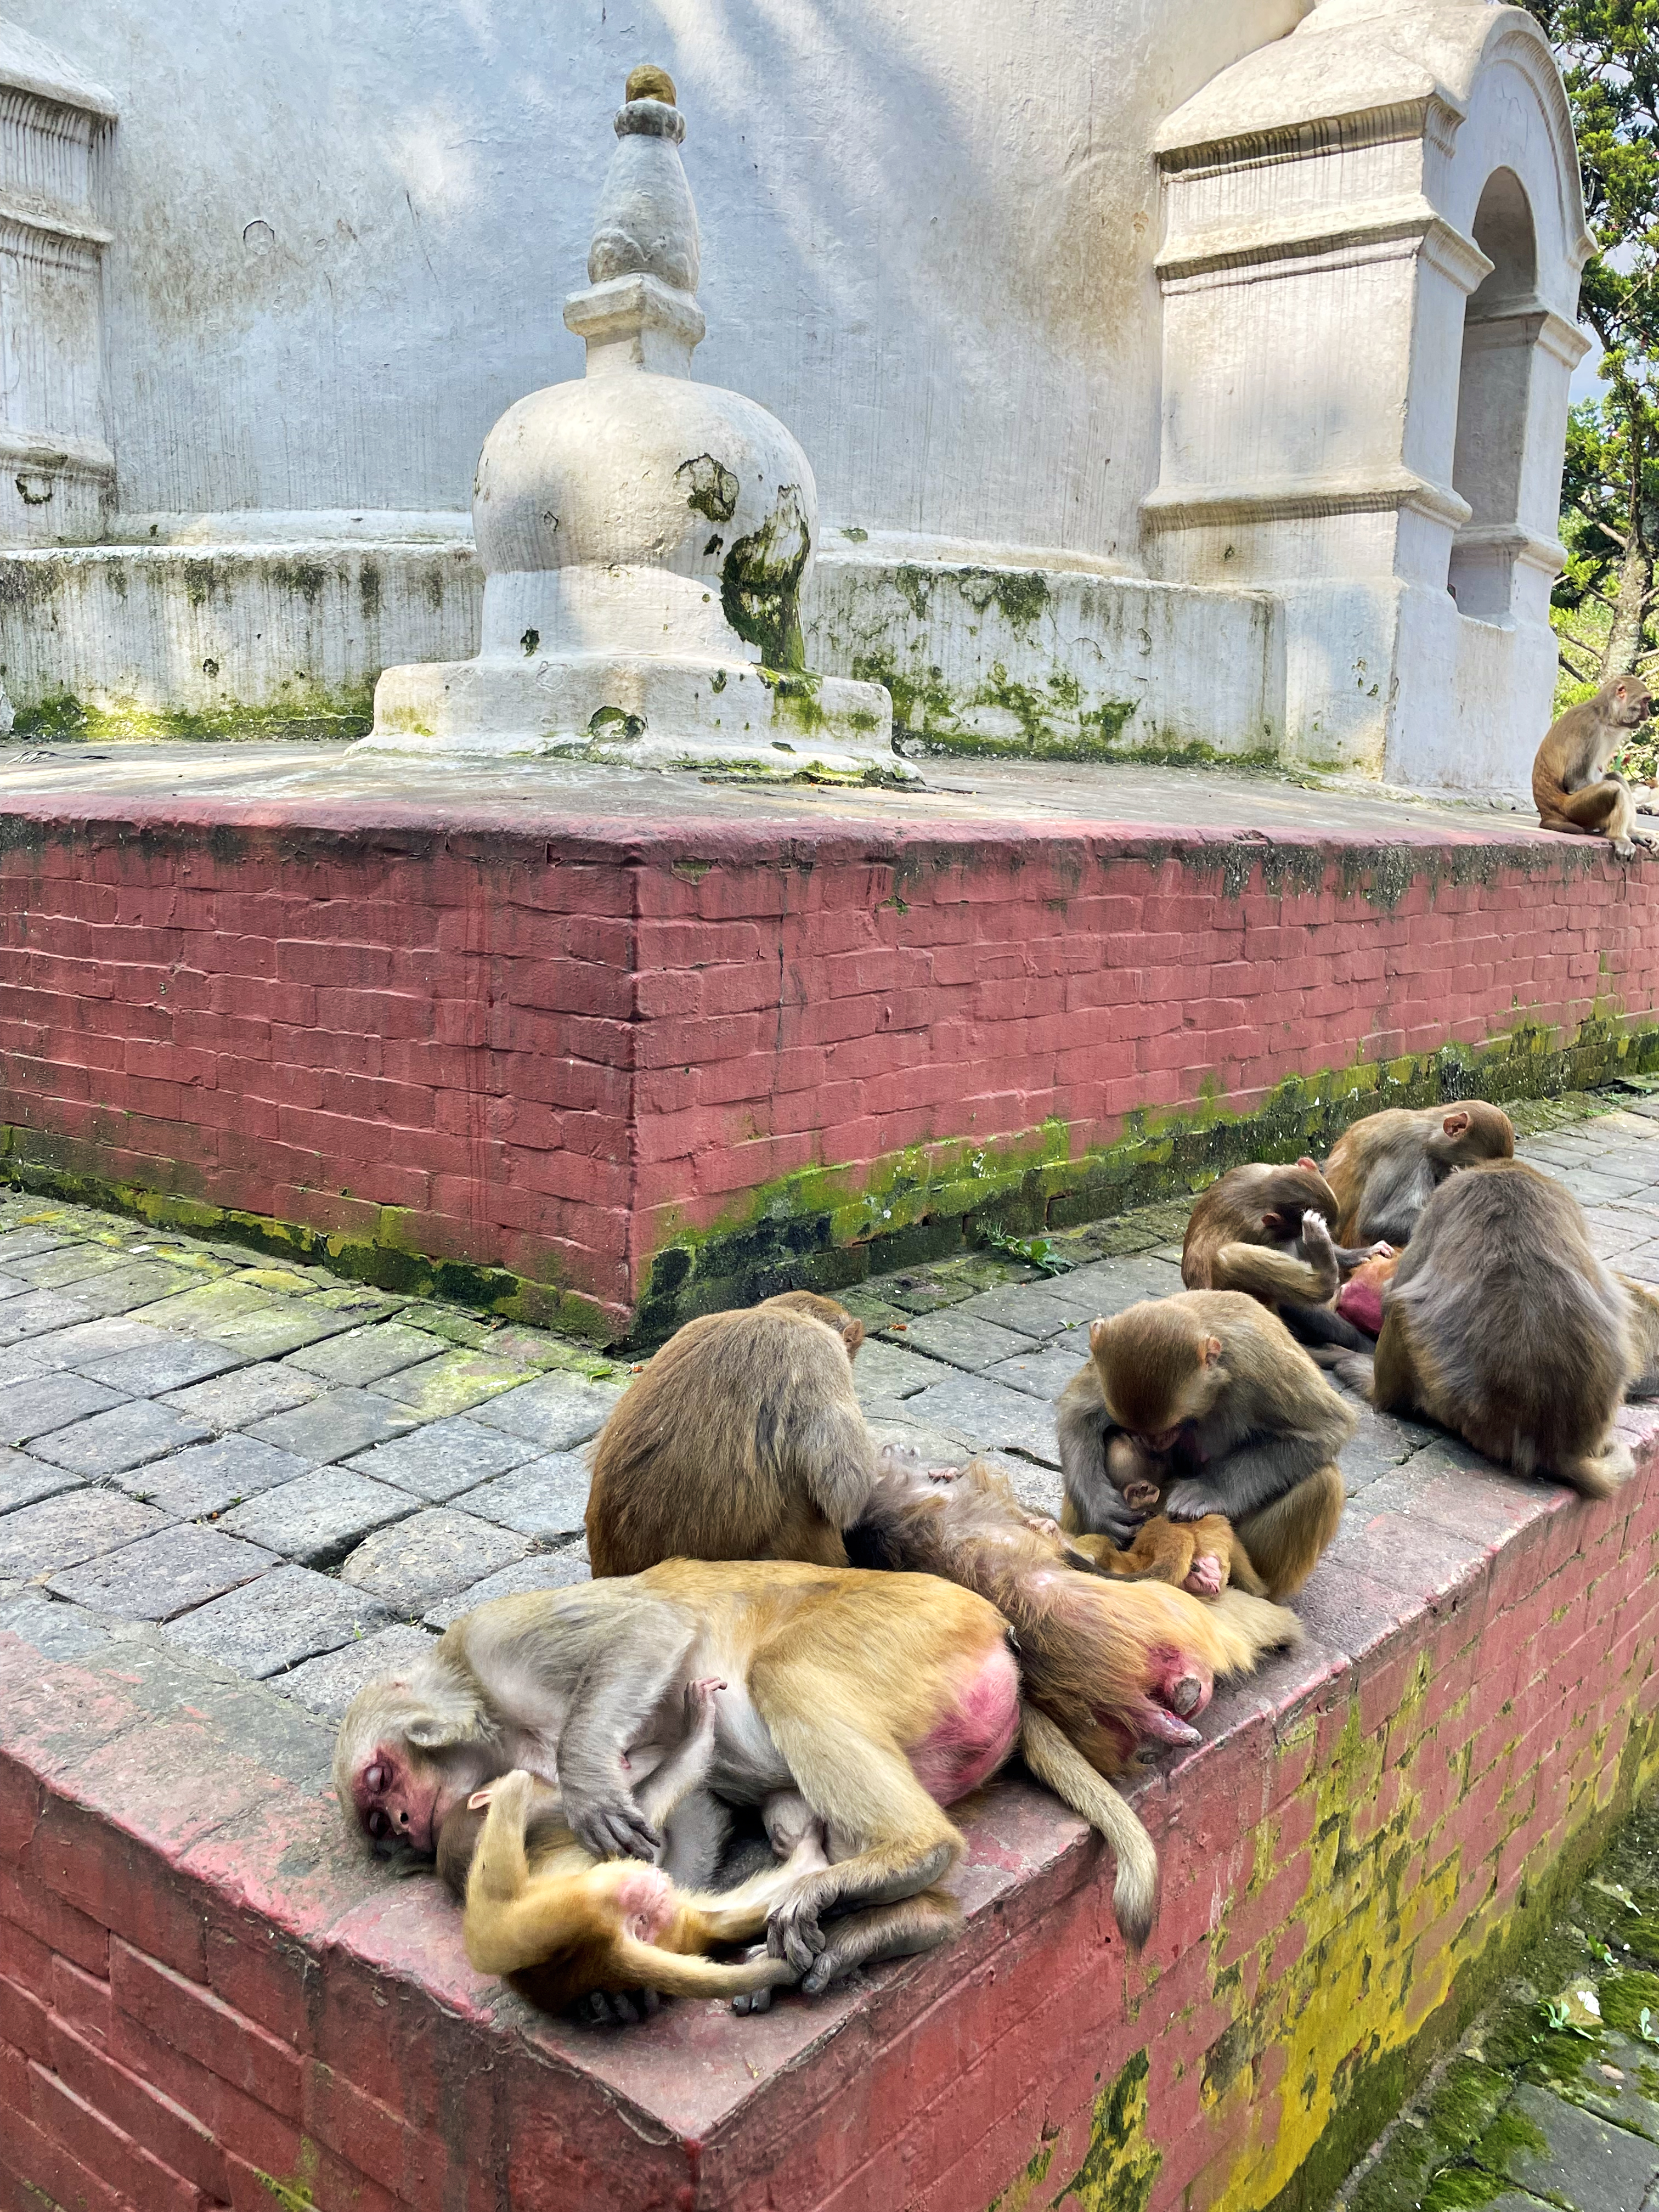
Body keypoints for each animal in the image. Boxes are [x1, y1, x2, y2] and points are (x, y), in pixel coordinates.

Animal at [1057, 1293, 1354, 1601]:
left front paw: (1207, 1490)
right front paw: (1101, 1507)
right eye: (1138, 1434)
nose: (1154, 1445)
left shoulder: (1259, 1366)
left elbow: (1324, 1430)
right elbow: (1079, 1411)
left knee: (1323, 1482)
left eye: (1171, 1427)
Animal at [1181, 1157, 1393, 1354]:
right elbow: (1290, 1304)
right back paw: (1324, 1276)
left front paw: (1359, 1254)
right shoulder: (1265, 1233)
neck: (1261, 1191)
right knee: (1228, 1257)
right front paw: (1361, 1342)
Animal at [1532, 674, 1659, 859]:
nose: (1648, 714)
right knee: (1613, 788)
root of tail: (1548, 815)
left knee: (1616, 778)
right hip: (1574, 811)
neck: (1604, 715)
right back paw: (1619, 836)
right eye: (1645, 701)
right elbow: (1576, 782)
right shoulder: (1590, 728)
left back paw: (1631, 832)